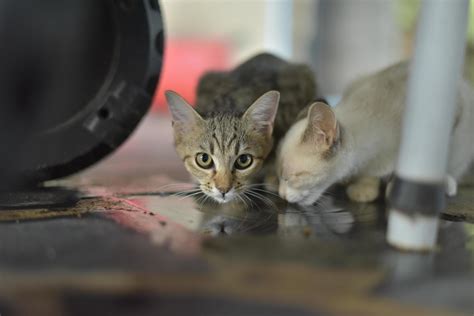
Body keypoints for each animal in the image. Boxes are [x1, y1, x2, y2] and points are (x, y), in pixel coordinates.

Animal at [276, 61, 474, 205]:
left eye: (289, 177)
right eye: (280, 177)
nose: (281, 195)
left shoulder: (452, 113)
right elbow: (371, 175)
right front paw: (364, 189)